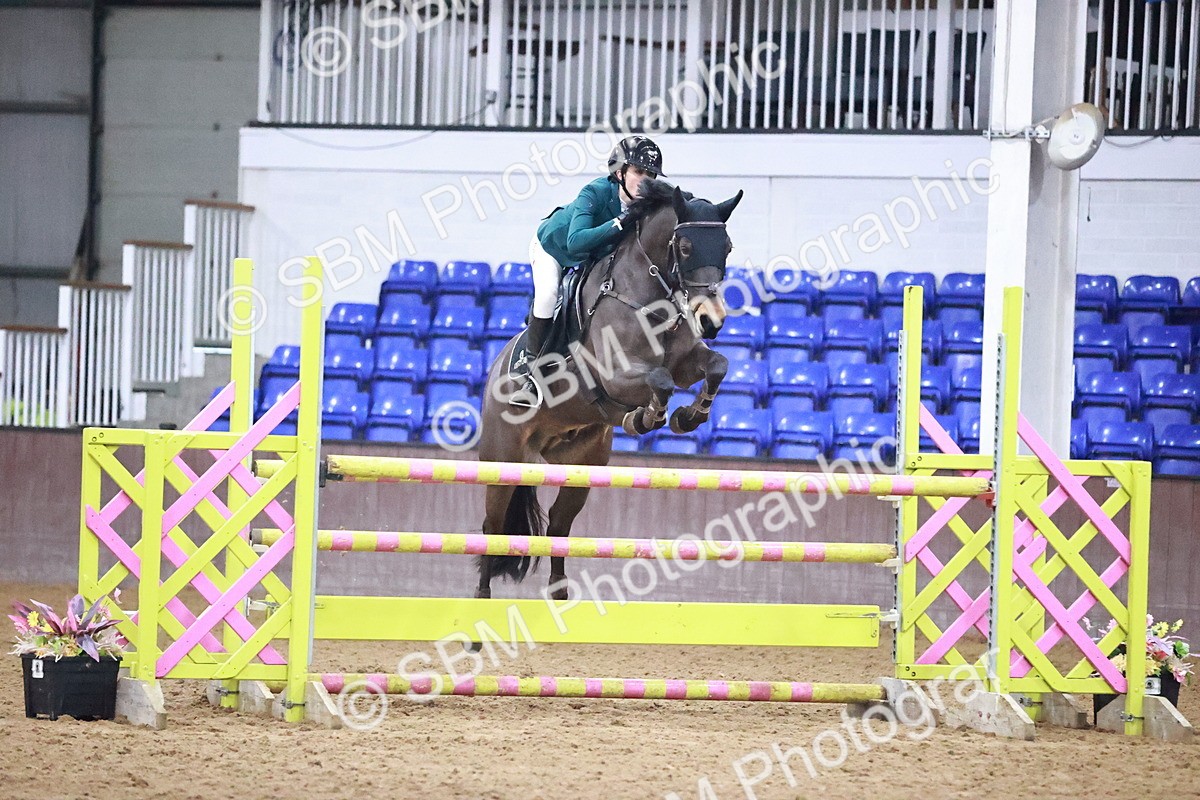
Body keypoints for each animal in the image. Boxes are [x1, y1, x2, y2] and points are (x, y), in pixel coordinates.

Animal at [475, 179, 743, 601]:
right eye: (685, 247)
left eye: (727, 247)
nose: (711, 321)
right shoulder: (615, 374)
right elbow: (658, 380)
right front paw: (648, 418)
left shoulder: (686, 363)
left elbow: (715, 365)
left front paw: (688, 416)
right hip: (502, 459)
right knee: (494, 527)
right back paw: (480, 602)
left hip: (581, 466)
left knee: (558, 527)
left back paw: (559, 596)